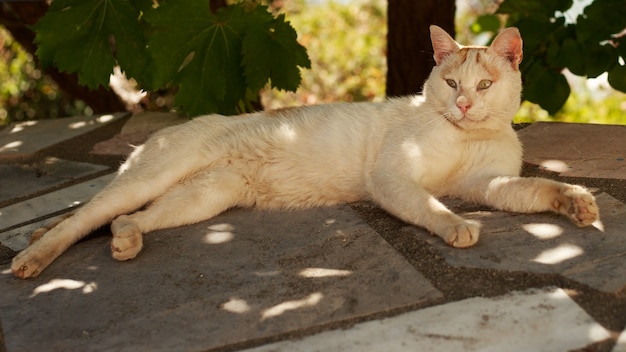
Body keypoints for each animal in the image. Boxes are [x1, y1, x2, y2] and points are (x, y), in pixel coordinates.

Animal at [11, 24, 596, 280]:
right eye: (451, 82)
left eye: (483, 86)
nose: (463, 105)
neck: (468, 136)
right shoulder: (393, 176)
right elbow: (430, 206)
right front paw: (455, 227)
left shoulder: (484, 185)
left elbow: (533, 188)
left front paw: (575, 202)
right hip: (155, 175)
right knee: (81, 218)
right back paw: (31, 259)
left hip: (202, 198)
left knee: (121, 219)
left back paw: (127, 240)